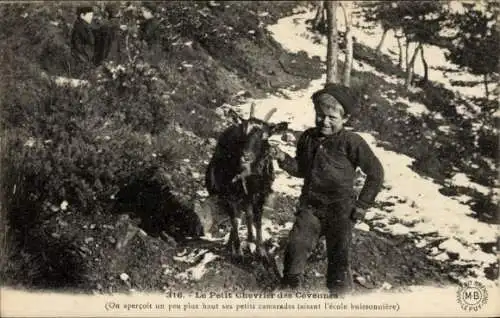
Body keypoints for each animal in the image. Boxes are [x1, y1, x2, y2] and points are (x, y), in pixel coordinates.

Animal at [205, 105, 288, 260]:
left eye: (265, 136)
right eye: (243, 131)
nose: (246, 156)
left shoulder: (260, 194)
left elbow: (257, 220)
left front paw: (261, 250)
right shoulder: (229, 194)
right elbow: (235, 220)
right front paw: (237, 251)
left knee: (248, 213)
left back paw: (250, 239)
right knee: (239, 215)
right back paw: (234, 243)